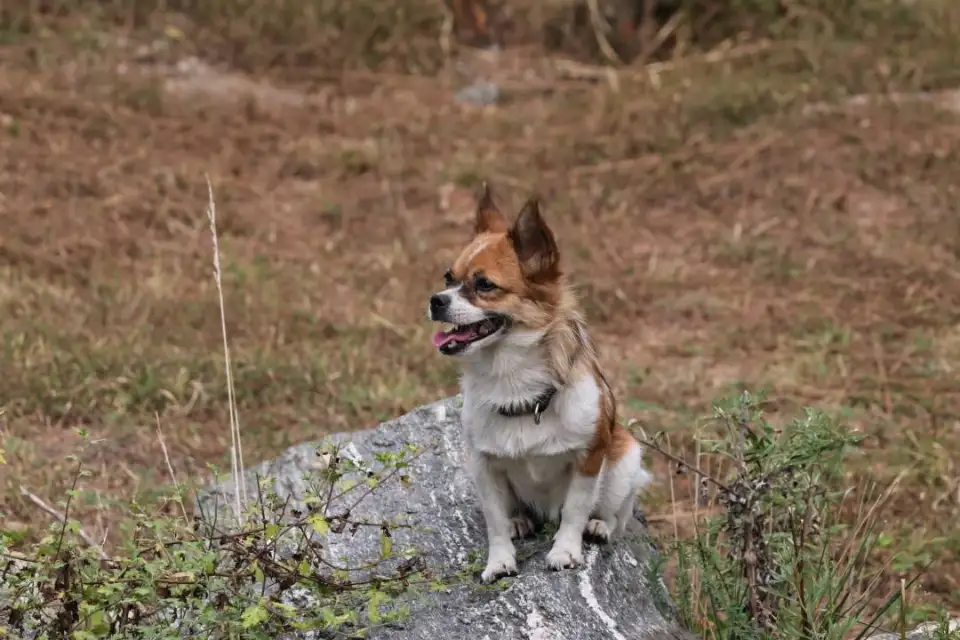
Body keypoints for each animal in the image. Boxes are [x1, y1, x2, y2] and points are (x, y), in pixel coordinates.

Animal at [428, 182, 652, 584]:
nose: (435, 300)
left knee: (617, 513)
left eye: (484, 285)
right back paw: (520, 520)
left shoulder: (588, 458)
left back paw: (600, 525)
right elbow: (495, 522)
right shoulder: (483, 466)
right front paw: (499, 560)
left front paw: (565, 550)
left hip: (625, 459)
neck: (511, 378)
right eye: (447, 279)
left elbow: (574, 511)